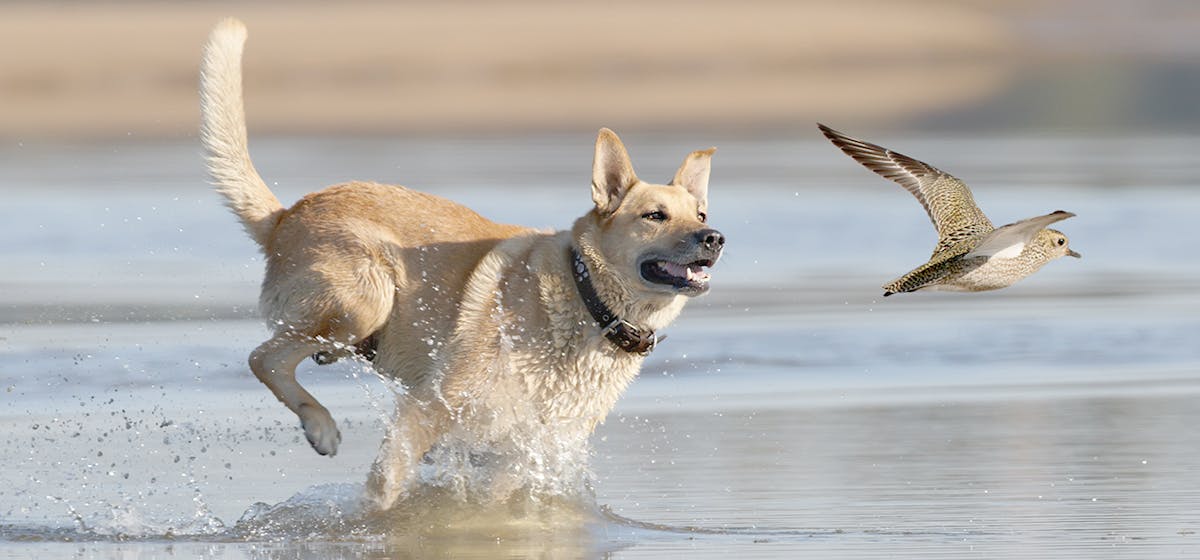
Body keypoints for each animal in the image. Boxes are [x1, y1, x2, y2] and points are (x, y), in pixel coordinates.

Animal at [199, 17, 720, 510]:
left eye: (700, 214)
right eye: (655, 216)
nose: (715, 238)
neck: (587, 299)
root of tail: (286, 215)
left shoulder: (523, 447)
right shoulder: (432, 406)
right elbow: (383, 491)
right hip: (366, 299)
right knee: (263, 356)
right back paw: (320, 425)